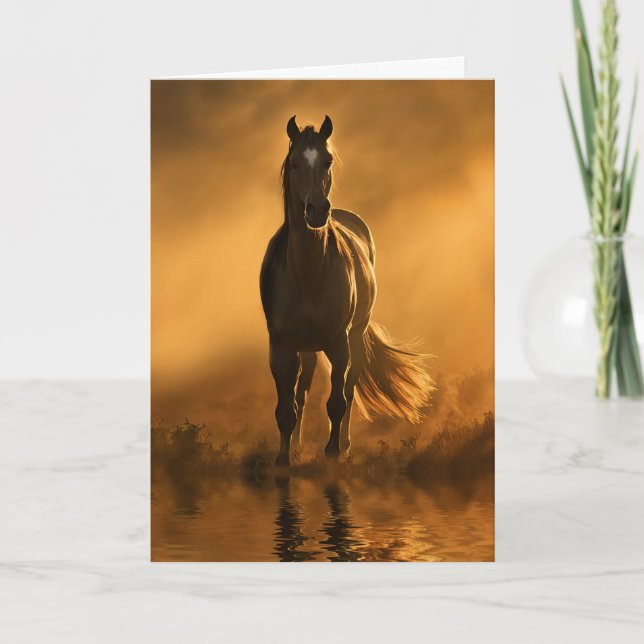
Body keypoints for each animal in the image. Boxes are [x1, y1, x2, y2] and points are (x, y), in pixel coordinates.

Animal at [260, 115, 433, 466]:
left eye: (327, 161)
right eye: (294, 163)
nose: (317, 210)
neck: (307, 273)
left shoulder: (339, 342)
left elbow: (337, 401)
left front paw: (332, 452)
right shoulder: (281, 345)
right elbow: (286, 407)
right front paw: (284, 459)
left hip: (355, 334)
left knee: (350, 388)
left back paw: (346, 444)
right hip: (307, 347)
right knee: (303, 390)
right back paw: (296, 445)